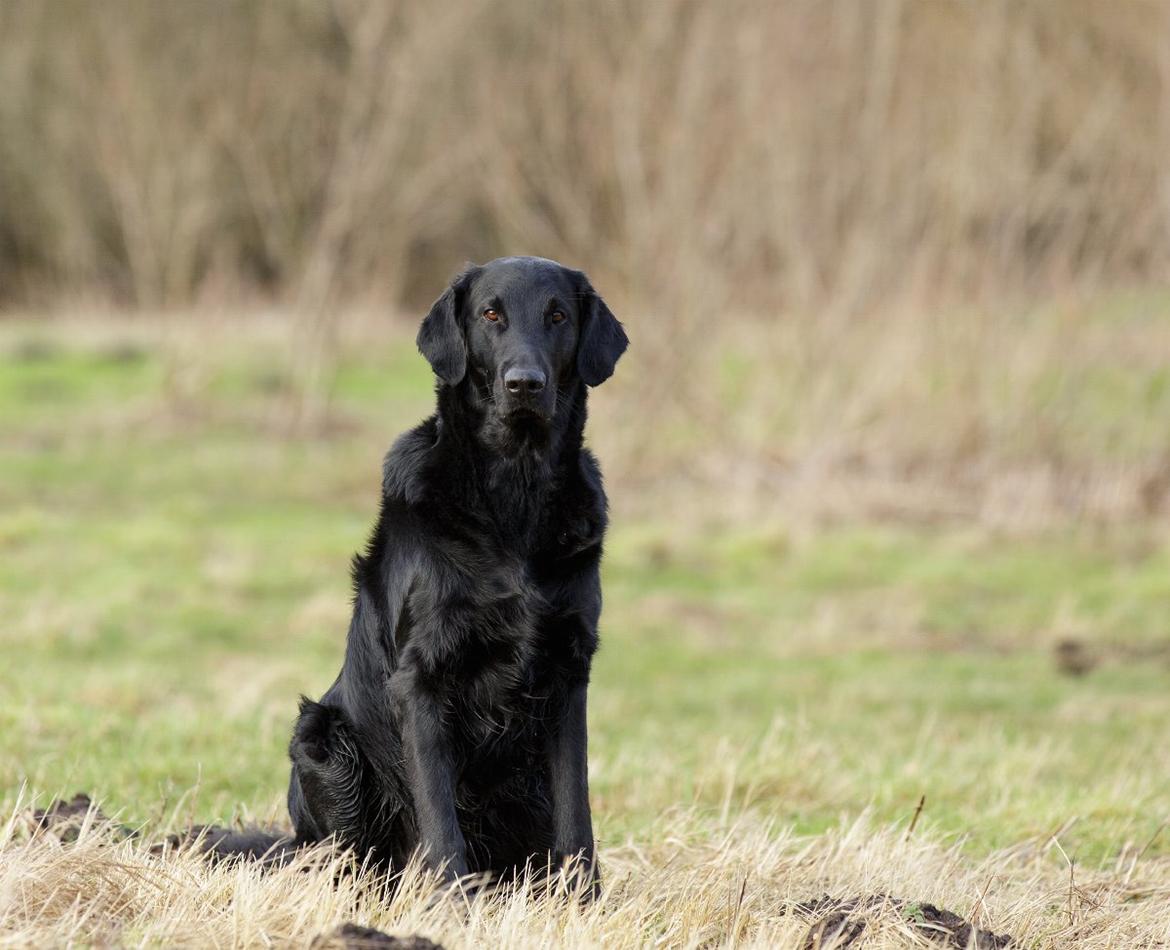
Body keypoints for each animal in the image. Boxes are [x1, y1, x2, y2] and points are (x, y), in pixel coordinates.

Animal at [215, 257, 627, 889]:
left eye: (558, 315)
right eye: (490, 314)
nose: (524, 383)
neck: (516, 489)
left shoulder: (568, 671)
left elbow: (575, 815)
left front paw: (584, 901)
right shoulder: (423, 677)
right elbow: (439, 816)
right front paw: (450, 901)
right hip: (324, 742)